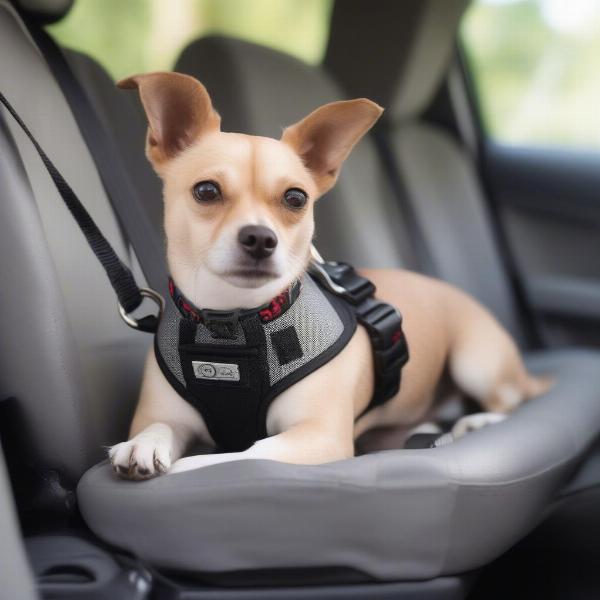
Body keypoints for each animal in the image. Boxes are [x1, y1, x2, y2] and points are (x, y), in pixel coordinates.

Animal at [109, 72, 552, 480]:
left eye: (295, 198)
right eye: (205, 191)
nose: (260, 238)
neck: (230, 325)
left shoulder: (316, 437)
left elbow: (236, 456)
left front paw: (186, 466)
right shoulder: (169, 416)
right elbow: (160, 427)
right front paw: (144, 444)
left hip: (474, 362)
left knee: (510, 402)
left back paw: (475, 421)